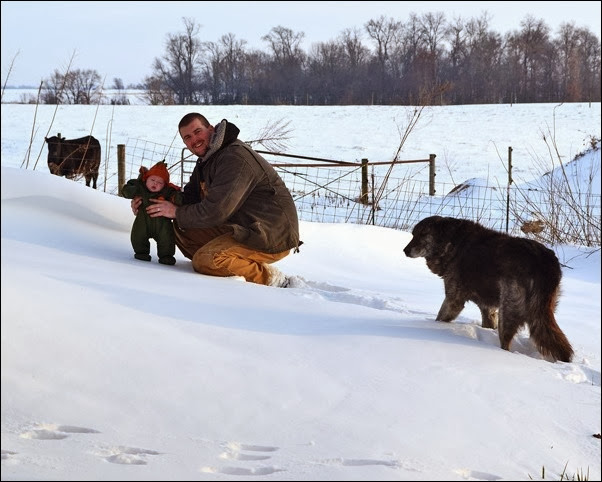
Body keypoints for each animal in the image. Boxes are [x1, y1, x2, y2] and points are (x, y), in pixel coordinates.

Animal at [404, 216, 572, 362]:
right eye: (413, 234)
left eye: (423, 234)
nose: (405, 250)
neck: (452, 242)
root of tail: (544, 262)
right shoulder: (487, 308)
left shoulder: (453, 300)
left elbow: (439, 318)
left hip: (508, 313)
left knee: (506, 344)